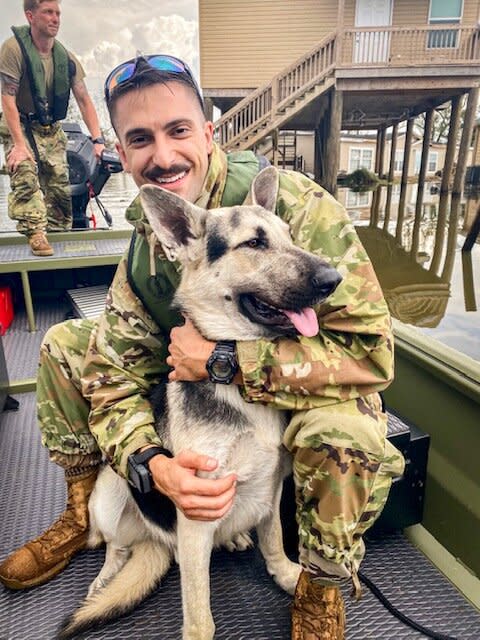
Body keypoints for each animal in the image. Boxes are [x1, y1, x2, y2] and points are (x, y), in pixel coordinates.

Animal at [59, 168, 342, 636]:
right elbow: (200, 612)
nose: (334, 279)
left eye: (289, 235)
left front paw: (288, 576)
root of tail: (152, 541)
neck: (238, 387)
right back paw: (105, 578)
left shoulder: (271, 488)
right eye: (254, 243)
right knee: (113, 546)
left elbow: (274, 542)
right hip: (111, 493)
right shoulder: (195, 519)